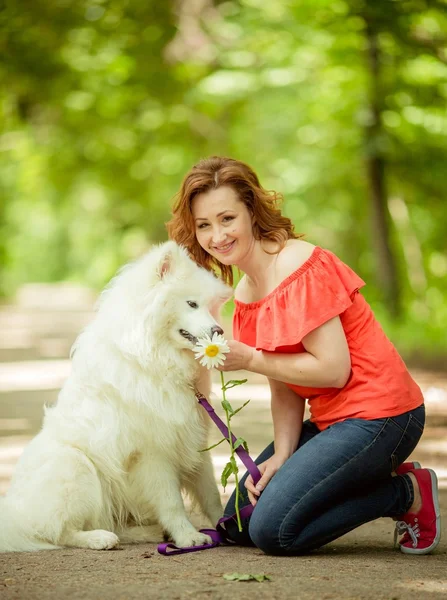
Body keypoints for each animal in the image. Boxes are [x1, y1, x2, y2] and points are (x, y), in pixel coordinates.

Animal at [0, 241, 231, 552]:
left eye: (211, 307)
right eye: (191, 304)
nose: (219, 330)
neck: (156, 361)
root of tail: (12, 516)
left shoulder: (192, 439)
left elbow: (211, 494)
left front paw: (230, 525)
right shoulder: (151, 452)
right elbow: (171, 502)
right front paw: (188, 537)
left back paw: (149, 533)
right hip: (76, 465)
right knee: (61, 532)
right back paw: (100, 539)